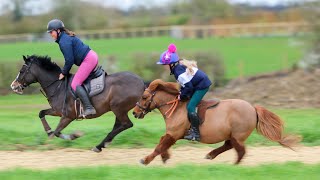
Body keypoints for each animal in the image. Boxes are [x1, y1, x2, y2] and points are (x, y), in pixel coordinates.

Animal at [10, 54, 144, 152]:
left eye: (22, 70)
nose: (13, 86)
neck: (58, 86)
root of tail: (142, 82)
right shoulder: (58, 111)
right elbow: (41, 113)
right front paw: (49, 131)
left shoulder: (67, 116)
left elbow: (57, 132)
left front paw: (71, 136)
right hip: (118, 109)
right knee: (119, 125)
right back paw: (101, 144)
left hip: (118, 108)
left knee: (126, 124)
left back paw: (101, 144)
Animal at [132, 79, 300, 165]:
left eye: (145, 97)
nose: (134, 112)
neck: (176, 107)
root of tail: (253, 108)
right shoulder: (172, 134)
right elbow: (162, 144)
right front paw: (165, 157)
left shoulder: (174, 133)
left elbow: (159, 146)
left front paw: (145, 160)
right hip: (233, 135)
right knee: (229, 145)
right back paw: (211, 155)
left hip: (238, 135)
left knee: (240, 150)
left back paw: (233, 166)